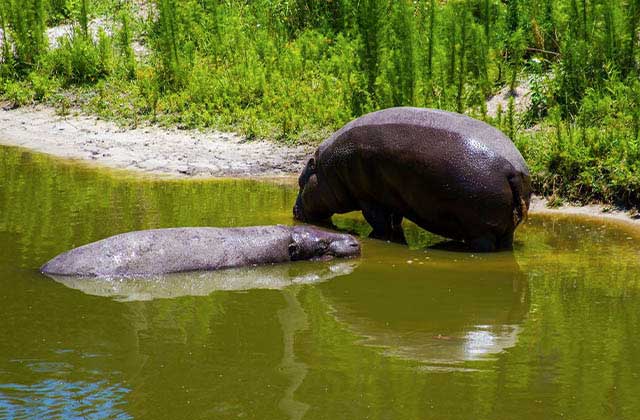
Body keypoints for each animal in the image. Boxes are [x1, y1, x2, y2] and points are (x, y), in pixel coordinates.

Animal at [292, 106, 532, 251]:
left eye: (300, 182)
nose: (294, 211)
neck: (327, 169)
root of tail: (513, 169)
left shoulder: (369, 199)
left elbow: (379, 224)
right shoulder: (393, 199)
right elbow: (395, 221)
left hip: (481, 231)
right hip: (505, 230)